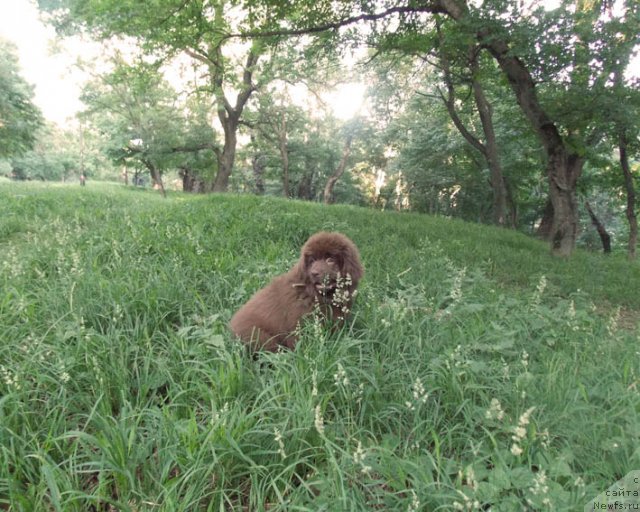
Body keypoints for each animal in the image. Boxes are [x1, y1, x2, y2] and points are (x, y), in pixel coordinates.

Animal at [230, 232, 362, 352]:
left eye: (330, 260)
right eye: (312, 260)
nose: (314, 273)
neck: (316, 294)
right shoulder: (299, 323)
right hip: (260, 337)